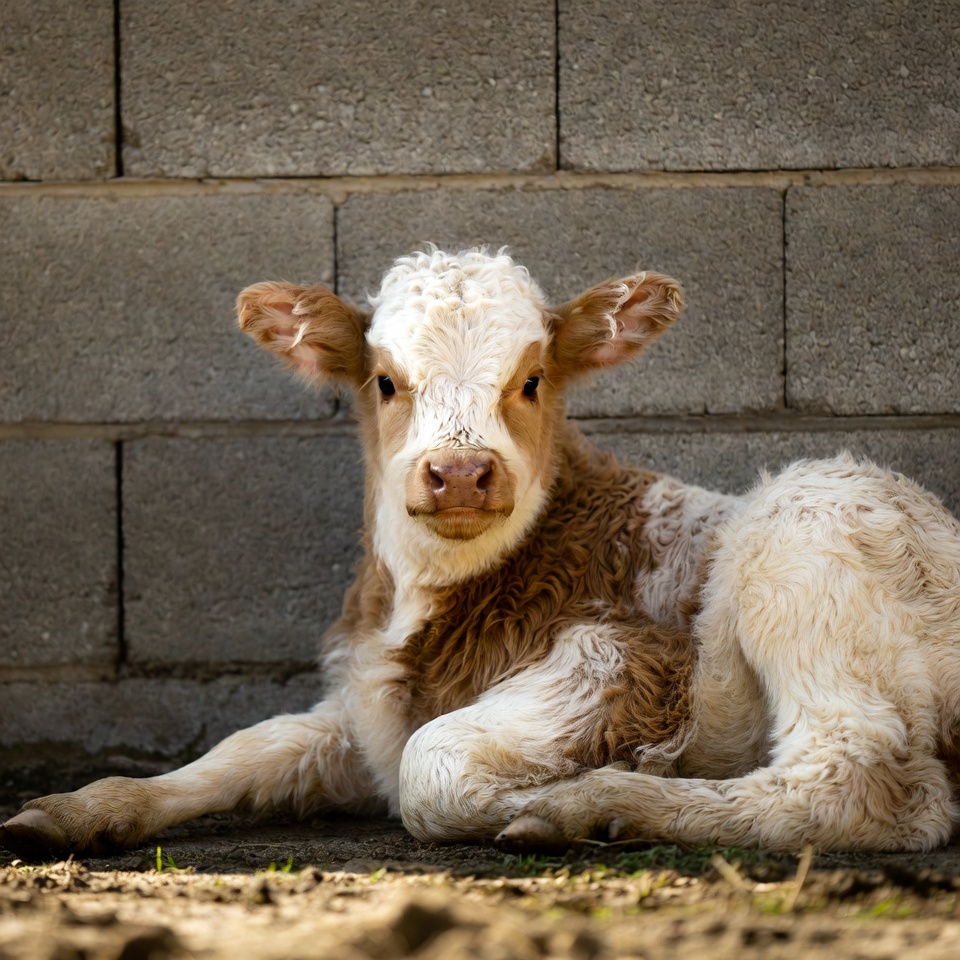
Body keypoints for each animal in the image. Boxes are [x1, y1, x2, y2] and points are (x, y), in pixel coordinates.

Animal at [3, 247, 960, 861]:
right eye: (386, 381)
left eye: (530, 380)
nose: (460, 472)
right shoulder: (364, 707)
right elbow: (248, 748)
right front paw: (78, 809)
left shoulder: (626, 659)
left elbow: (430, 766)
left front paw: (554, 790)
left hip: (811, 535)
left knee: (866, 782)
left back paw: (594, 805)